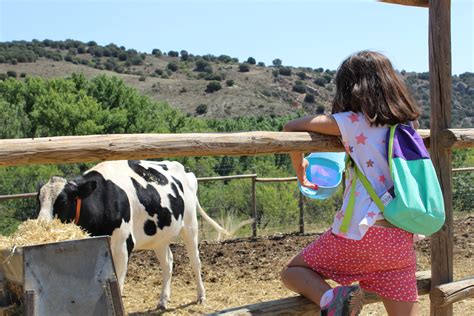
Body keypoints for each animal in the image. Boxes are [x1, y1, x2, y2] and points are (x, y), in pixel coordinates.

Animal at [36, 159, 232, 308]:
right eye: (38, 199)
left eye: (62, 200)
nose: (42, 224)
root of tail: (184, 169)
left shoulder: (123, 245)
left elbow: (119, 280)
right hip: (160, 237)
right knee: (168, 263)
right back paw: (163, 301)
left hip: (190, 226)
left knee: (195, 261)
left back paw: (201, 296)